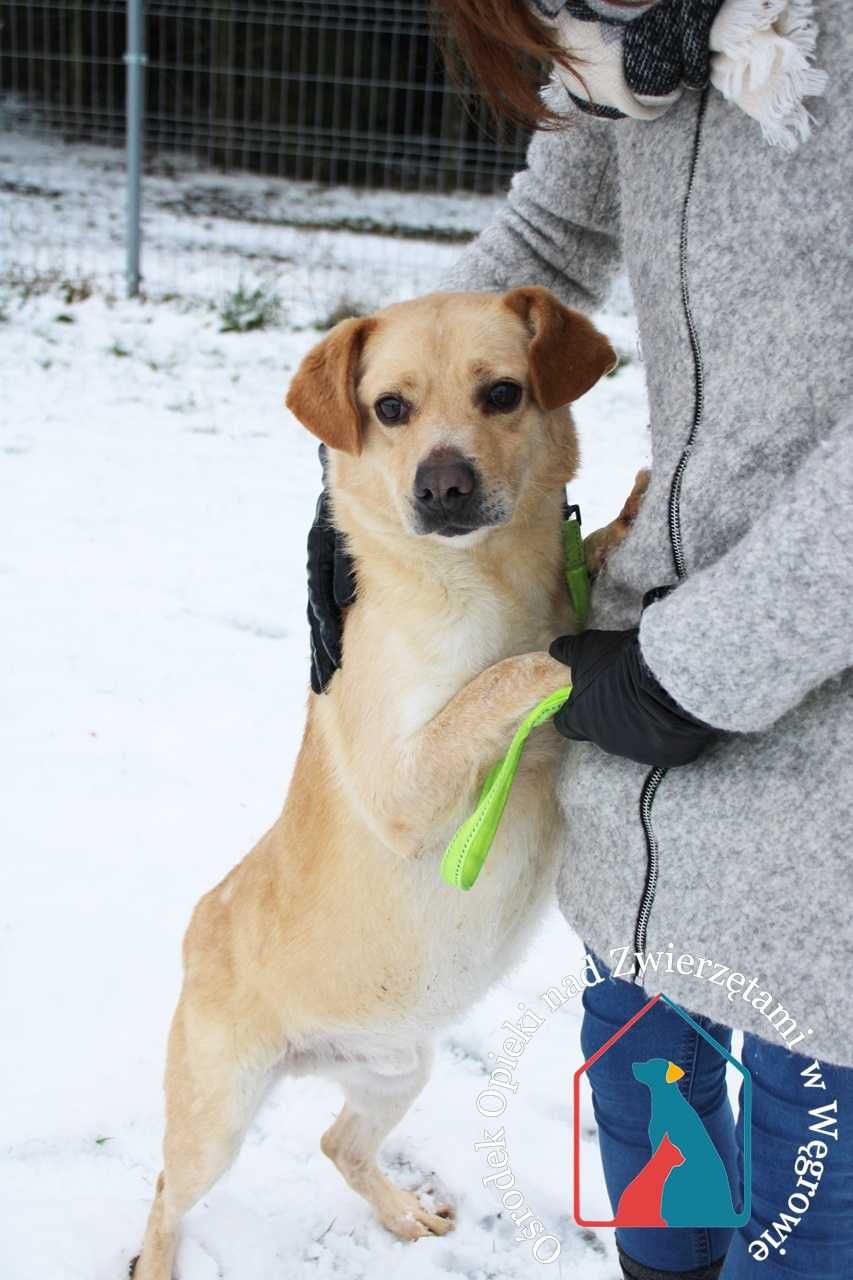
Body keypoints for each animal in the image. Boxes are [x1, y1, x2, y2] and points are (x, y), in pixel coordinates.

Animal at [131, 290, 645, 1280]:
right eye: (390, 408)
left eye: (502, 392)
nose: (442, 487)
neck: (485, 577)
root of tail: (199, 917)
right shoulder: (404, 783)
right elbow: (514, 671)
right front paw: (590, 659)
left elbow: (579, 571)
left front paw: (628, 518)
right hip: (217, 1115)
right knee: (168, 1192)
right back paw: (159, 1261)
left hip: (396, 1071)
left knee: (338, 1144)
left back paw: (402, 1215)